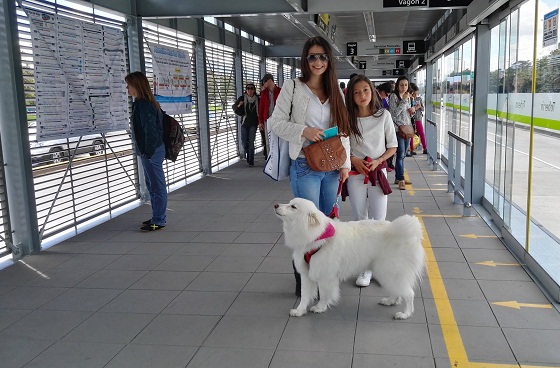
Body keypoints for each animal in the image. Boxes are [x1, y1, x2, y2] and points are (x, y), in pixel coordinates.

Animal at [274, 198, 424, 320]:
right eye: (289, 202)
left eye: (293, 207)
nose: (275, 205)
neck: (316, 235)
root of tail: (408, 233)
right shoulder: (306, 275)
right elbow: (304, 296)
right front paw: (299, 311)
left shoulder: (325, 276)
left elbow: (324, 294)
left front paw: (319, 308)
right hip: (387, 273)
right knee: (398, 291)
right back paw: (389, 301)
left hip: (390, 272)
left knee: (409, 294)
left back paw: (405, 314)